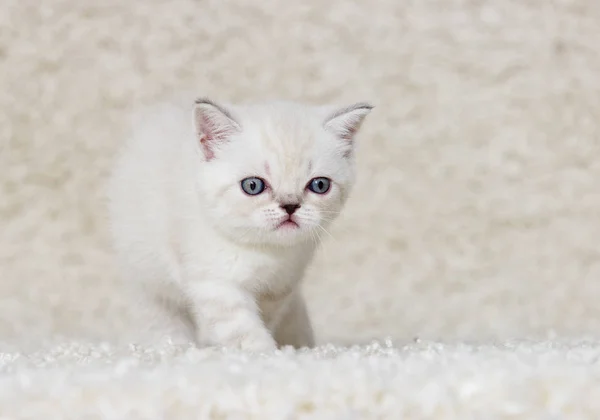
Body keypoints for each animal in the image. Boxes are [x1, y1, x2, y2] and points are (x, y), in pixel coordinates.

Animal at [105, 98, 372, 352]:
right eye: (253, 186)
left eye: (319, 185)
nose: (290, 205)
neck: (266, 252)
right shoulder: (214, 282)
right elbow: (241, 329)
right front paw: (263, 353)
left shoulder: (279, 287)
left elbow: (265, 319)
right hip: (147, 274)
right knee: (160, 315)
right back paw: (176, 346)